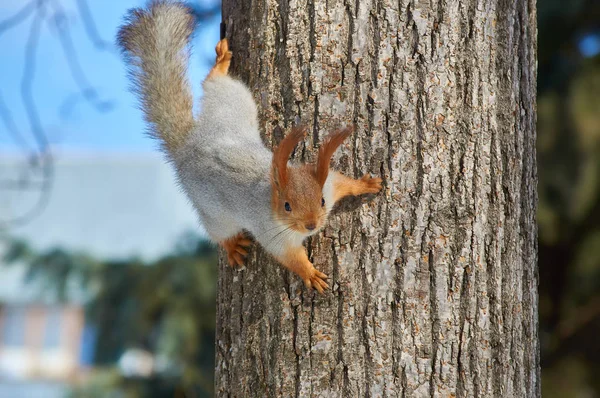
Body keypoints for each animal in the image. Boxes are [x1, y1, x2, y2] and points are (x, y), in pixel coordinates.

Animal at [116, 0, 380, 292]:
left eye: (322, 200)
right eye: (287, 206)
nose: (311, 225)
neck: (272, 192)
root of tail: (190, 145)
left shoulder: (329, 183)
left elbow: (345, 182)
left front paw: (367, 184)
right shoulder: (273, 234)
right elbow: (292, 258)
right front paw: (310, 274)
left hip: (231, 104)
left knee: (215, 83)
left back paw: (220, 63)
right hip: (213, 211)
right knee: (218, 232)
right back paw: (232, 247)